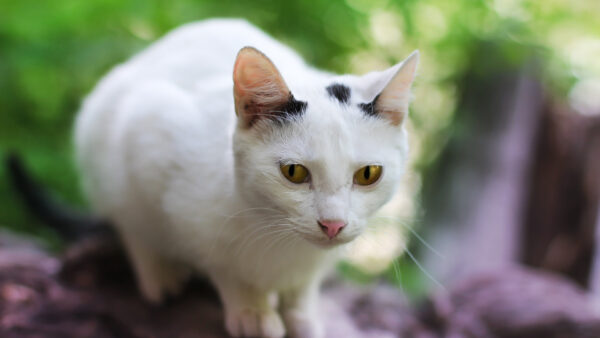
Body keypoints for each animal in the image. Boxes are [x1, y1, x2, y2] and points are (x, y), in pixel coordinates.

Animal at [74, 19, 418, 338]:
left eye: (368, 174)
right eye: (294, 172)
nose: (333, 225)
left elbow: (302, 288)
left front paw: (302, 318)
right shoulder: (149, 135)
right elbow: (222, 264)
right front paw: (252, 311)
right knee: (131, 222)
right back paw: (159, 274)